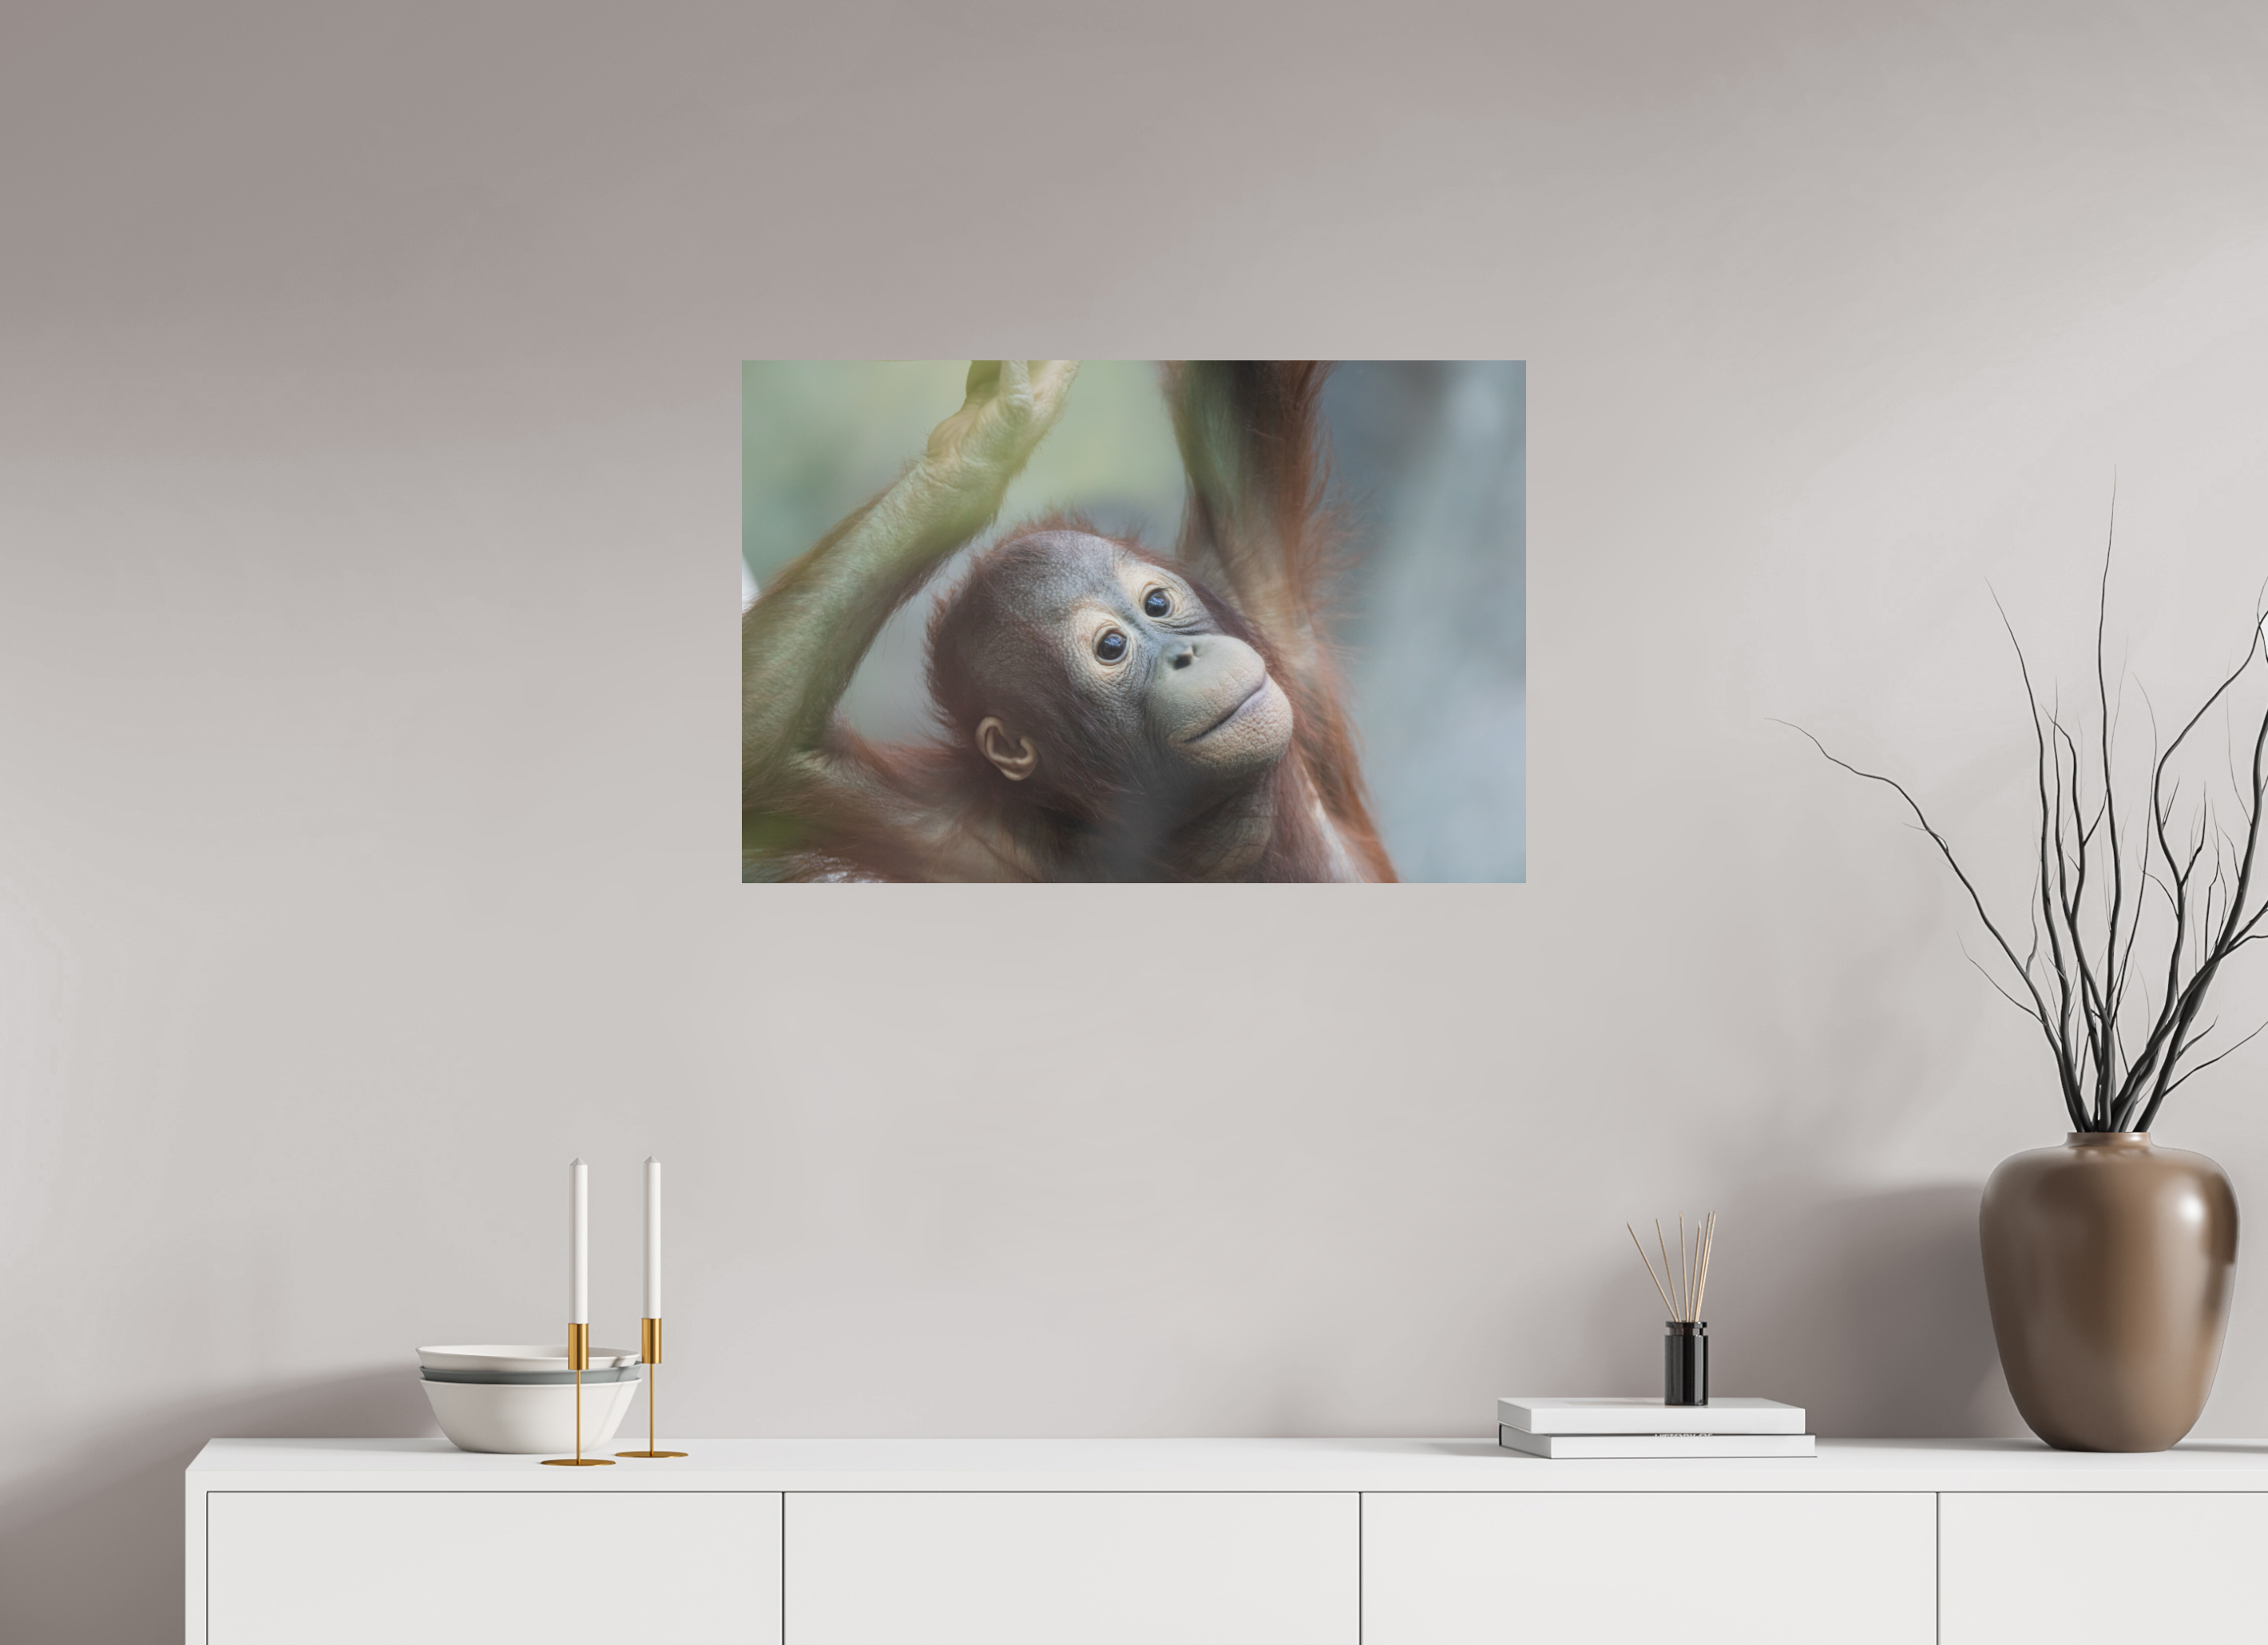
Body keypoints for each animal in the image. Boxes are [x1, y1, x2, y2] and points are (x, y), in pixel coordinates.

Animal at [741, 360, 1394, 882]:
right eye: (1111, 647)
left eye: (1159, 605)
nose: (1186, 655)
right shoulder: (953, 833)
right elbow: (771, 762)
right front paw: (977, 451)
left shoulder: (1244, 582)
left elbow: (1237, 392)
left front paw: (988, 431)